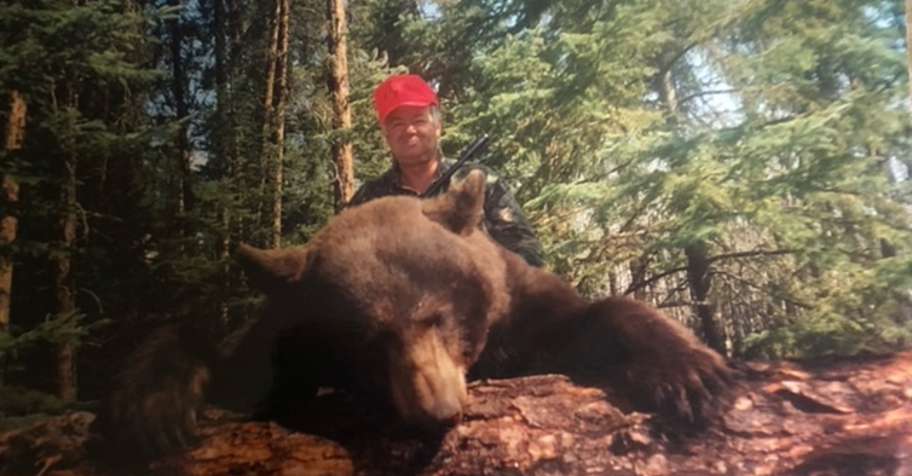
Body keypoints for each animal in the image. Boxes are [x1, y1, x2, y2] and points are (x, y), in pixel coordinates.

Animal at [100, 169, 732, 456]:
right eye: (369, 339)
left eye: (437, 316)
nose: (436, 411)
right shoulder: (287, 335)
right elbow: (227, 362)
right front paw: (153, 406)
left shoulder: (517, 311)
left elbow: (585, 317)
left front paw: (689, 370)